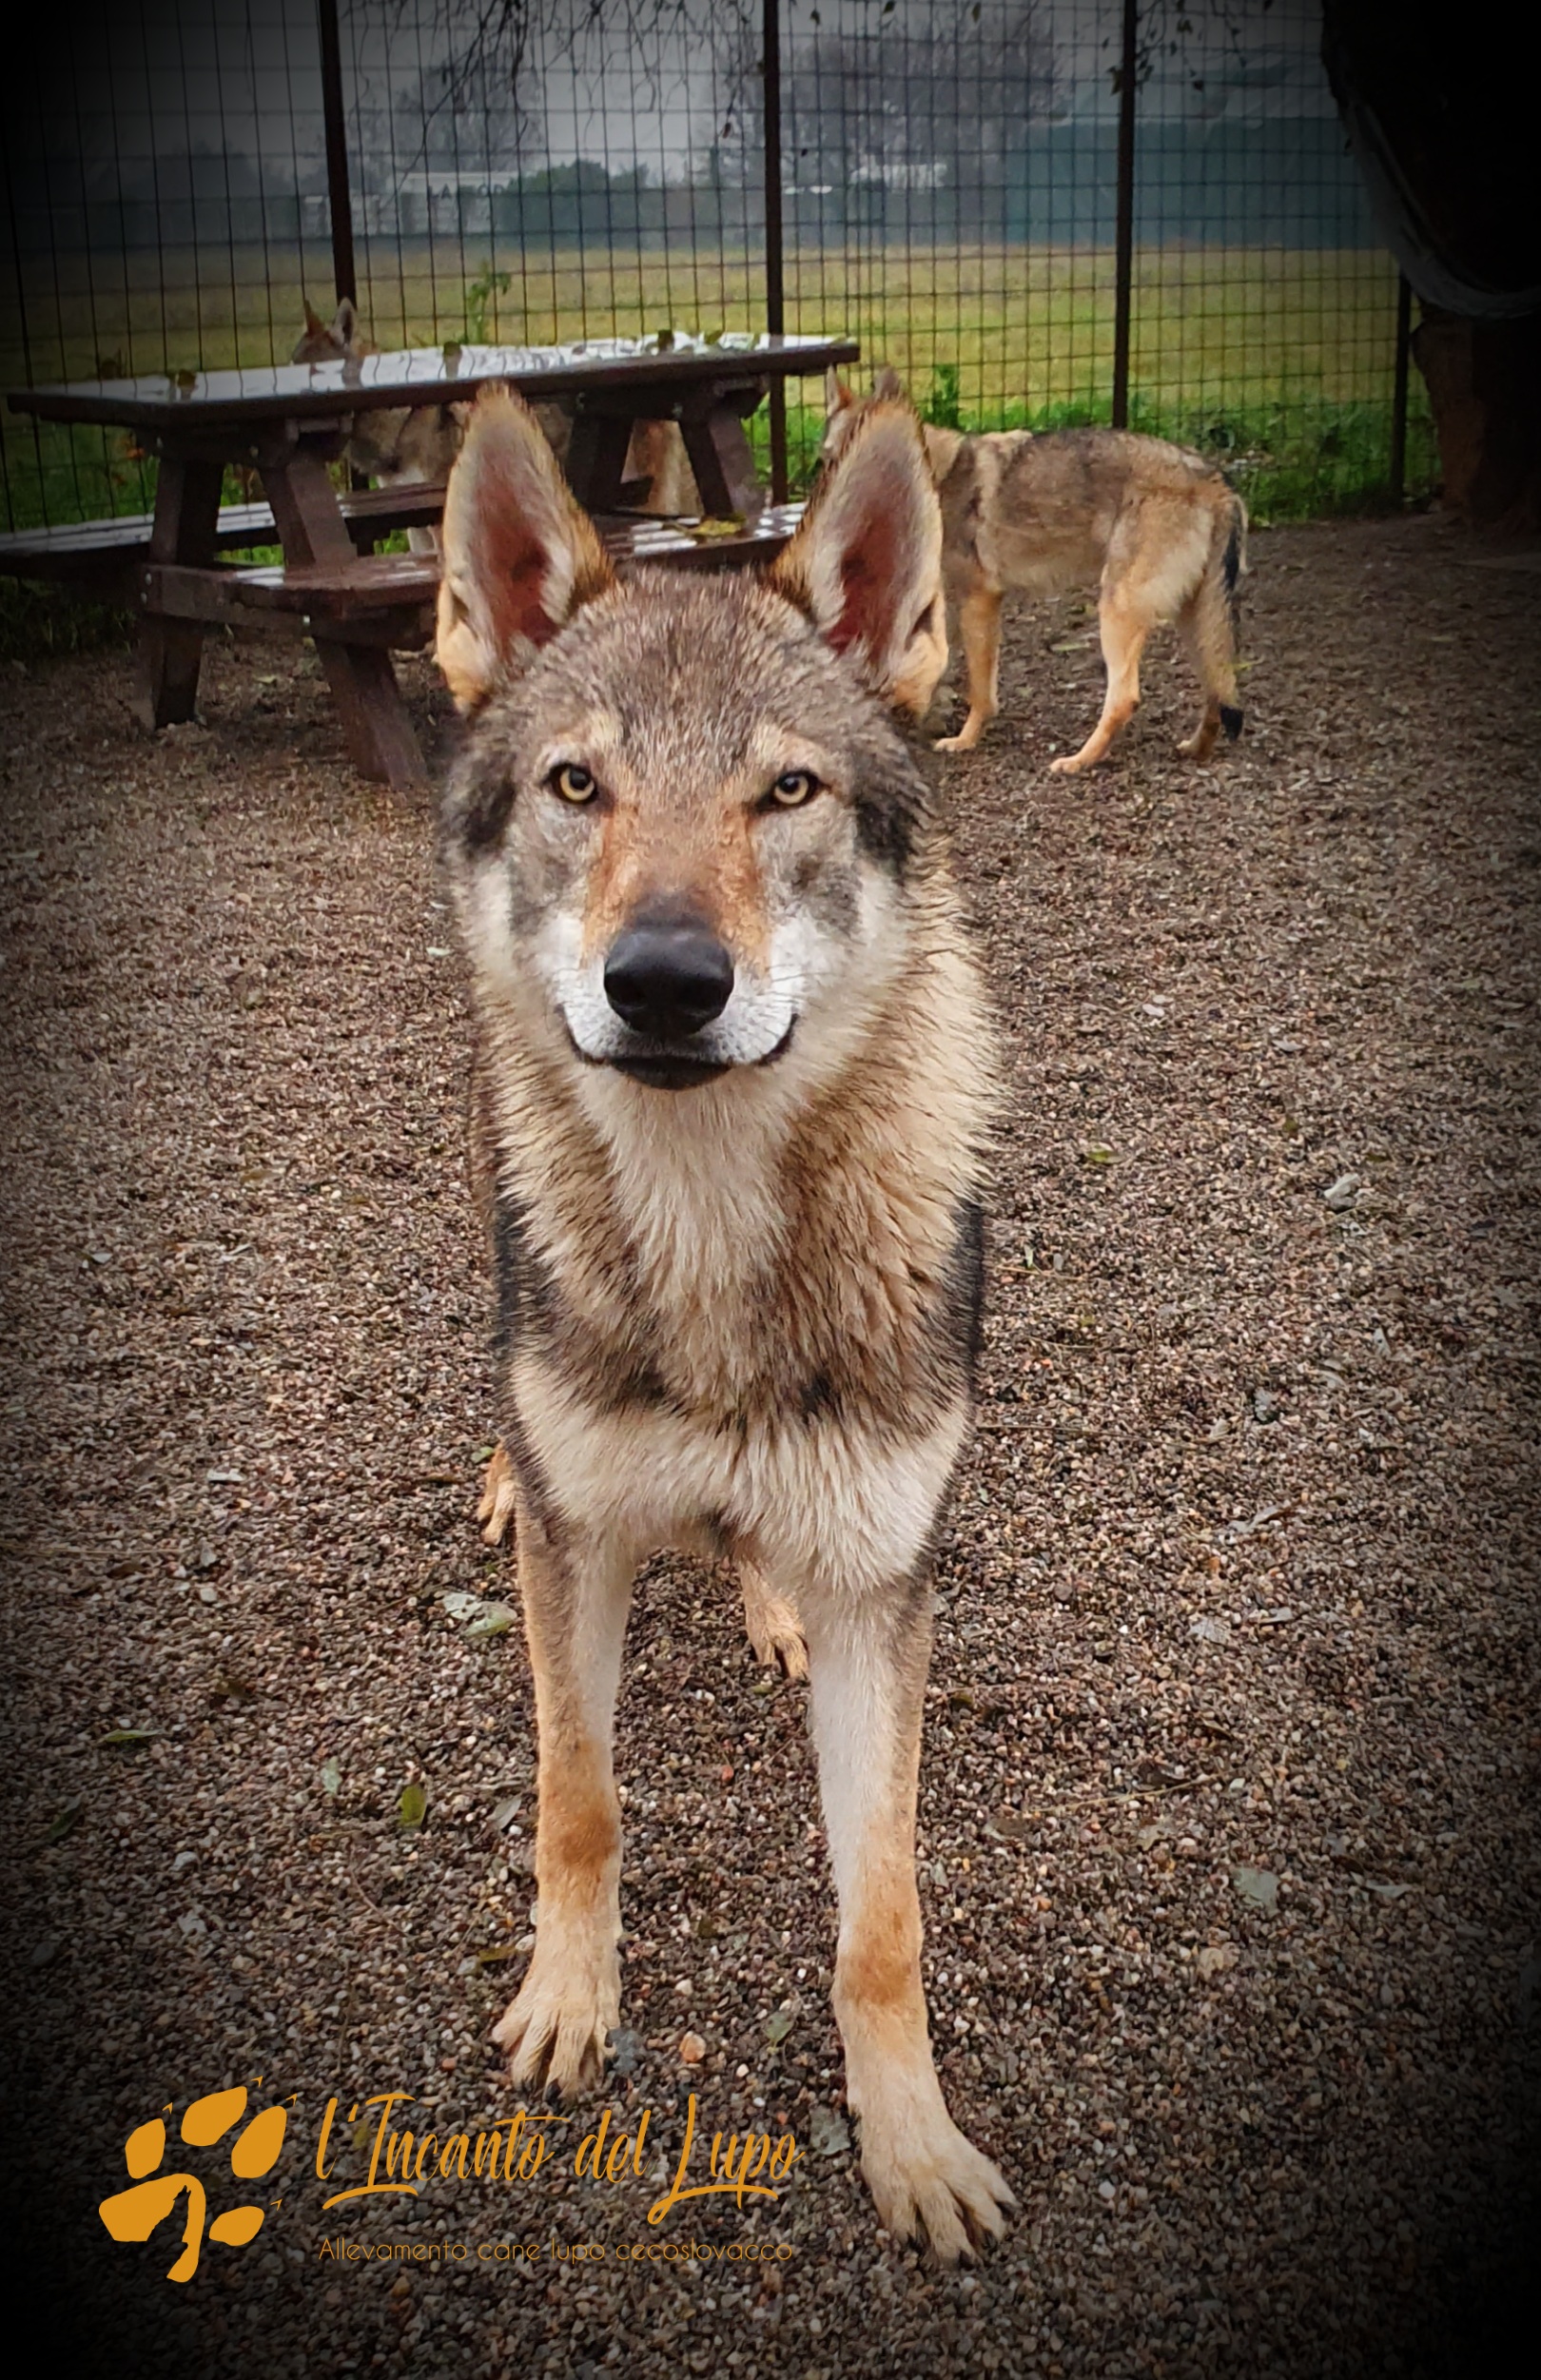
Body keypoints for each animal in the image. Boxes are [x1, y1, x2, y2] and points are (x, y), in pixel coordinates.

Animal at [434, 381, 1014, 2261]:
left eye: (786, 789)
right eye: (577, 783)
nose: (668, 981)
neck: (710, 1252)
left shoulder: (889, 1591)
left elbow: (883, 1919)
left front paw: (912, 2145)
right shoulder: (583, 1557)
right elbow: (579, 1799)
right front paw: (569, 2007)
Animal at [825, 369, 1247, 772]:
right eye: (830, 458)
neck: (938, 479)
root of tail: (1214, 480)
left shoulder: (979, 600)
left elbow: (978, 688)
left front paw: (964, 740)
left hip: (1117, 613)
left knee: (1126, 698)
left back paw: (1078, 761)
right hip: (1192, 621)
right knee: (1217, 688)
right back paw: (1196, 749)